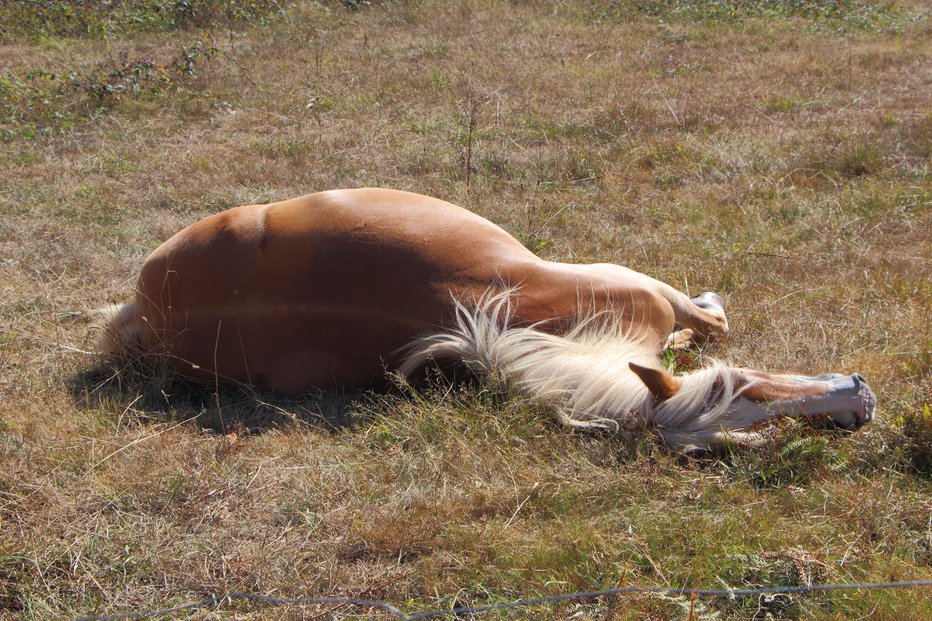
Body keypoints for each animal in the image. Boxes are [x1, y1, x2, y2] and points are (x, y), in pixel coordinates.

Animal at [98, 186, 876, 448]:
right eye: (741, 392)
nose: (859, 404)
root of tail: (146, 314)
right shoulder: (649, 289)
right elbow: (714, 322)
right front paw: (705, 316)